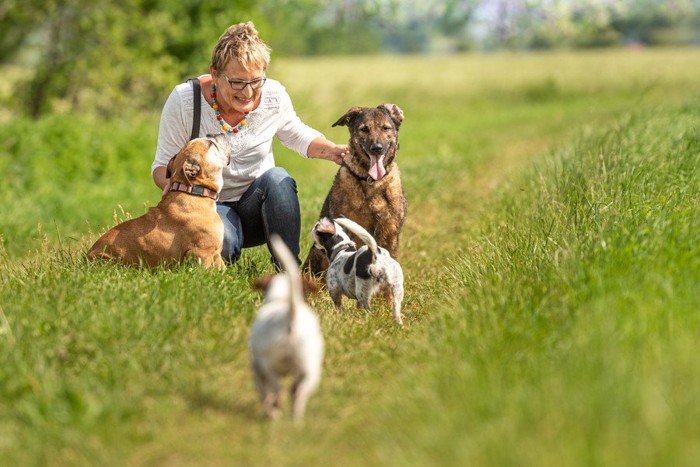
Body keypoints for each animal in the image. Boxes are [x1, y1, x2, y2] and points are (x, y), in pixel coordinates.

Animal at [87, 133, 230, 268]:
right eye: (211, 144)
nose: (213, 134)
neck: (194, 190)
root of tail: (86, 259)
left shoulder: (215, 254)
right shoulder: (202, 252)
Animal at [304, 103, 408, 278]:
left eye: (386, 128)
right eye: (364, 129)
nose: (376, 148)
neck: (372, 181)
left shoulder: (390, 230)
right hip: (316, 253)